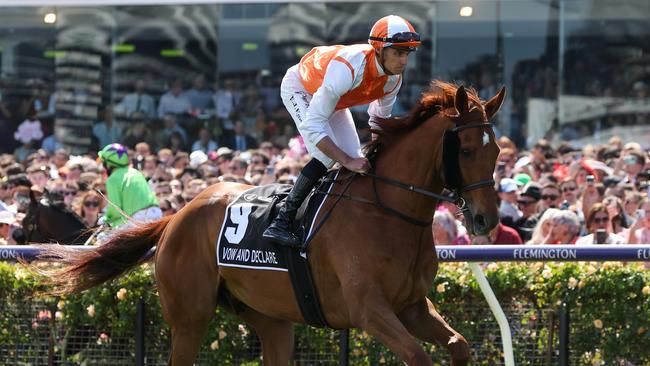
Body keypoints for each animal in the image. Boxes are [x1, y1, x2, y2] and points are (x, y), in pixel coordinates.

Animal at [44, 81, 502, 364]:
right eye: (464, 149)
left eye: (496, 150)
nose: (486, 218)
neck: (386, 211)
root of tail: (179, 214)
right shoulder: (368, 308)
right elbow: (419, 356)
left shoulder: (411, 305)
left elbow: (460, 346)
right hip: (189, 317)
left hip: (271, 317)